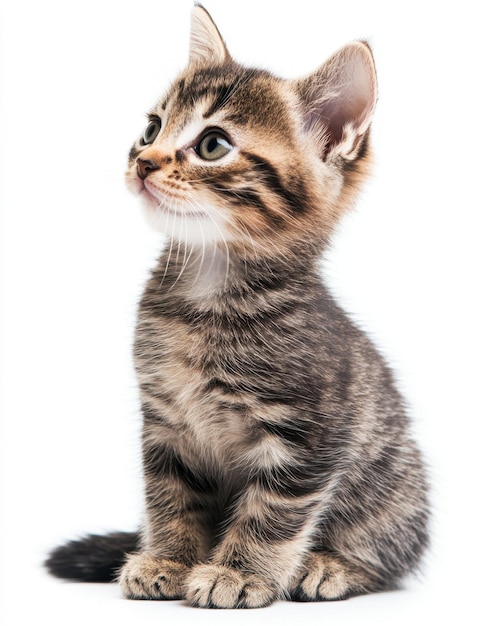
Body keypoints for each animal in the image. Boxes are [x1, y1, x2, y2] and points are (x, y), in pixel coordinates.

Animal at [47, 4, 428, 608]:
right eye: (151, 128)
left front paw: (239, 572)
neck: (205, 301)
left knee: (389, 553)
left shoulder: (309, 433)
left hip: (395, 492)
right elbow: (171, 497)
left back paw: (330, 565)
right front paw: (170, 559)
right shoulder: (165, 424)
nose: (143, 161)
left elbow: (272, 511)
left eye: (212, 145)